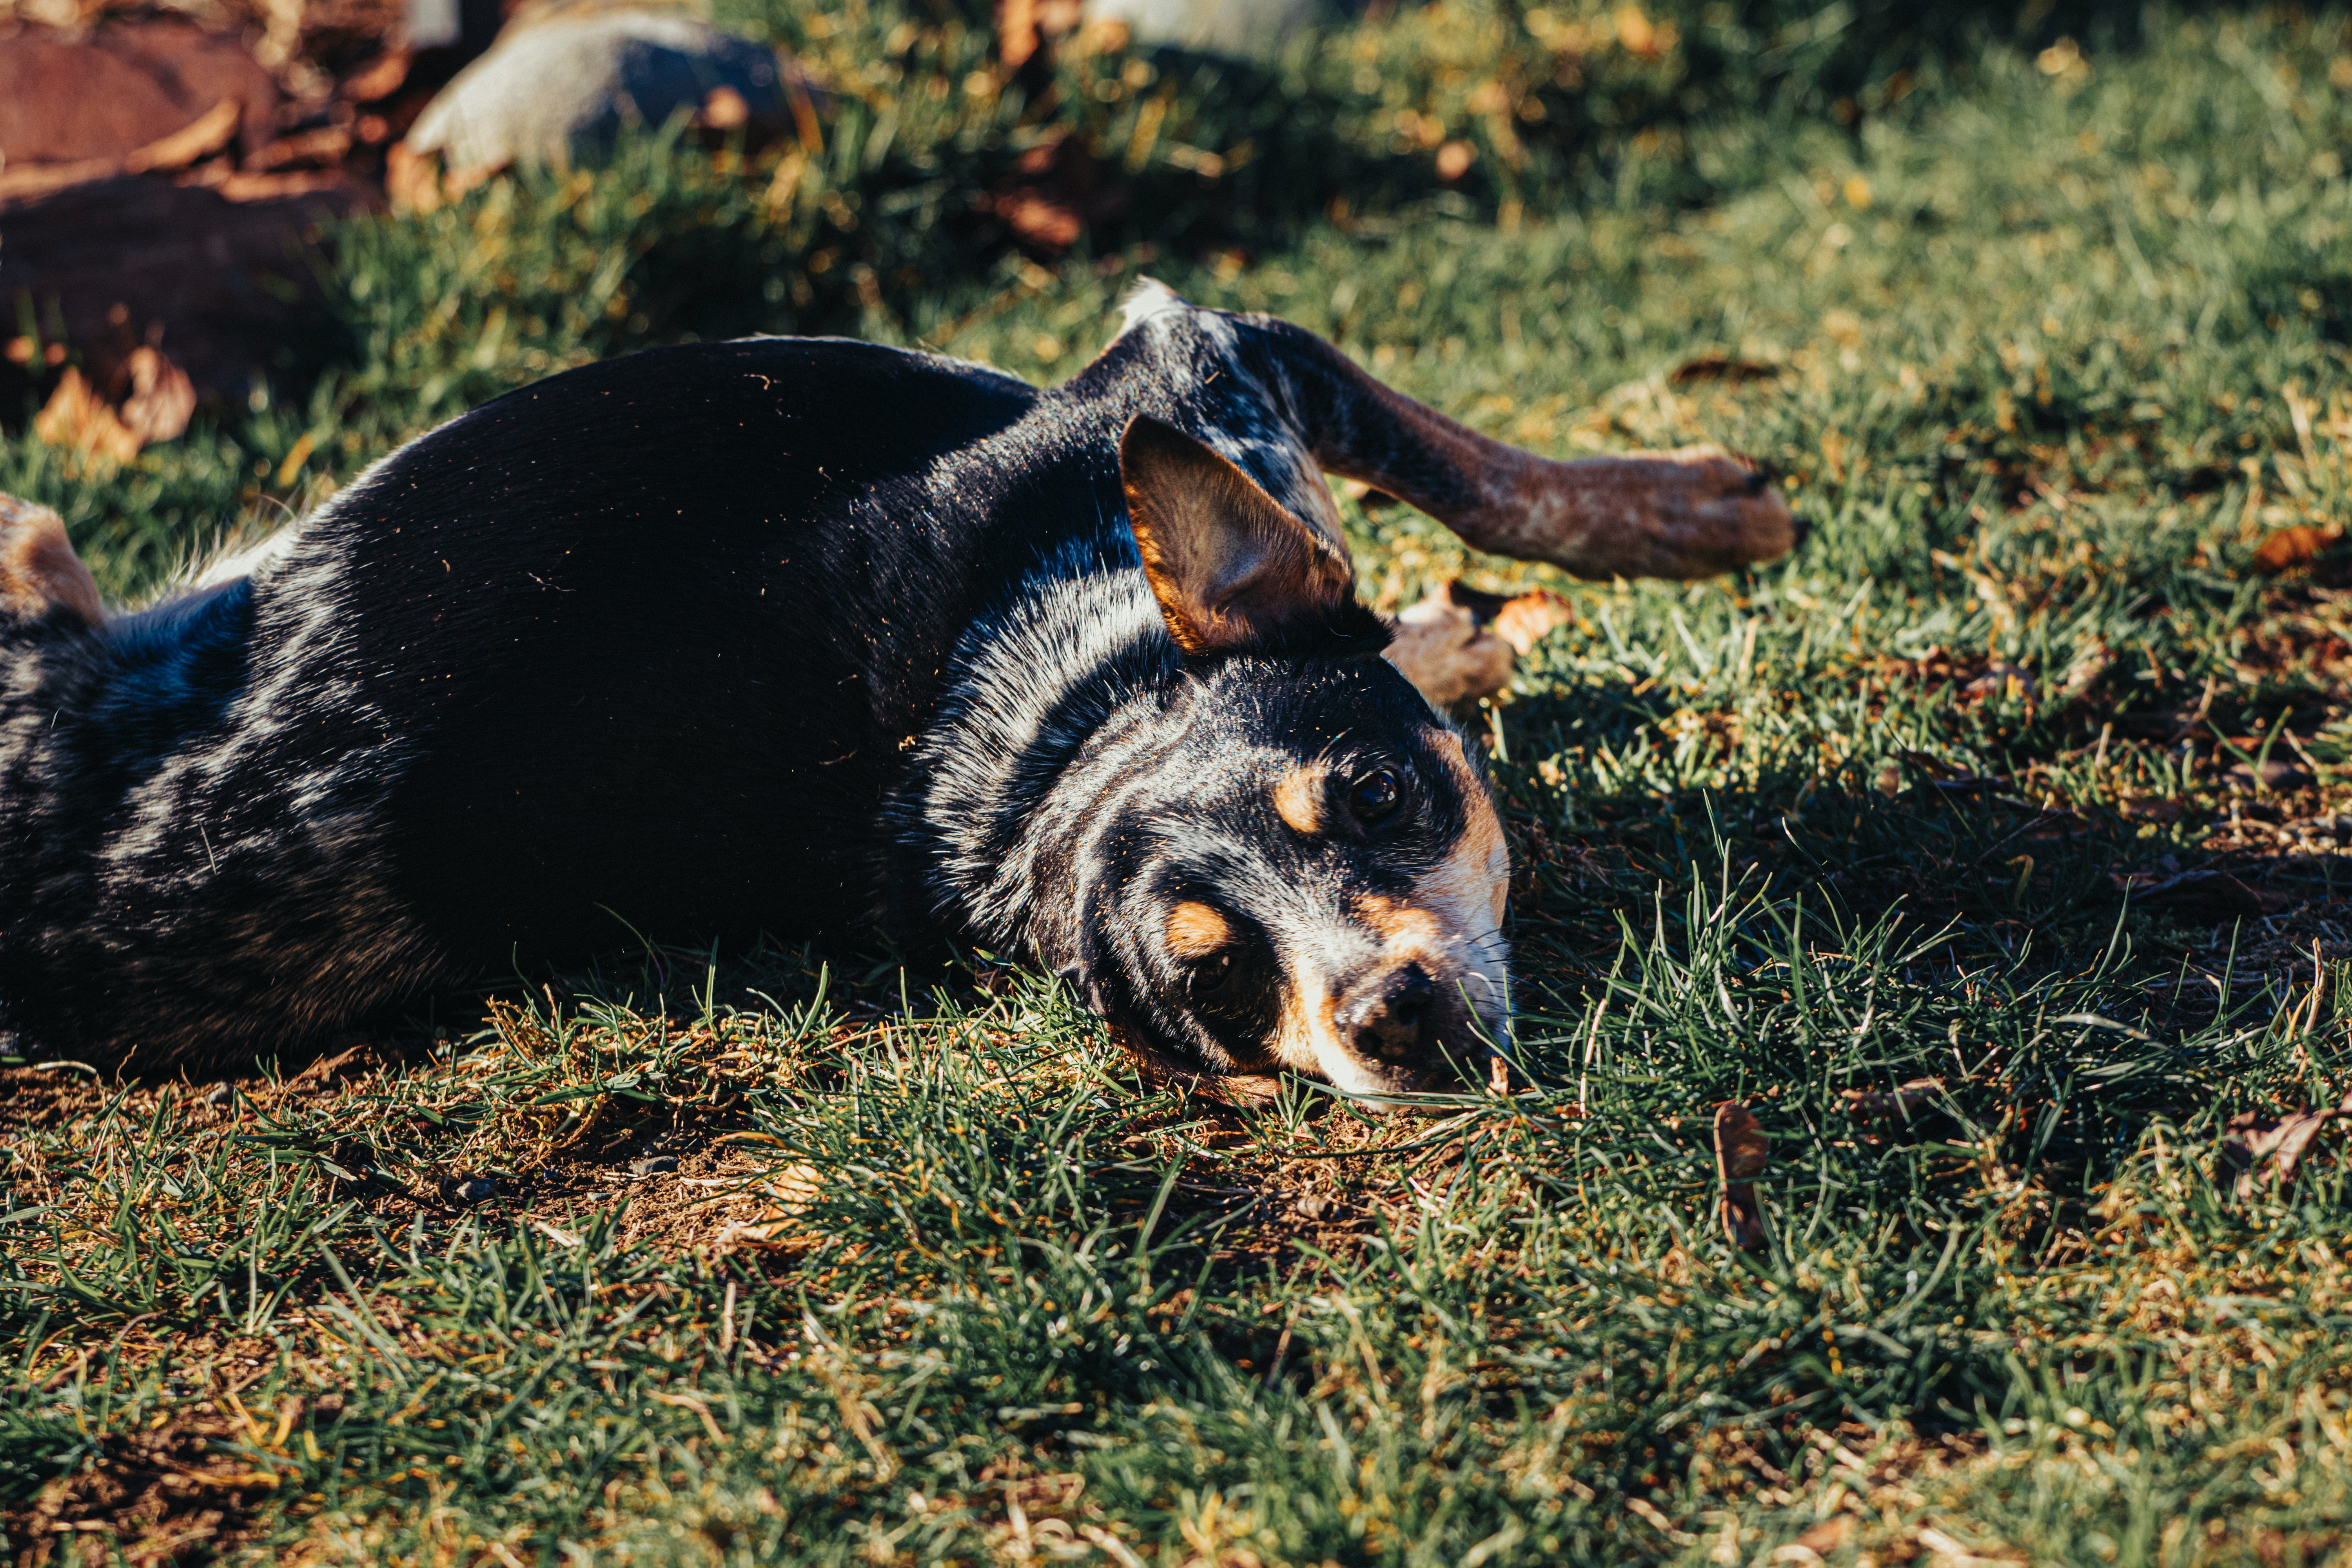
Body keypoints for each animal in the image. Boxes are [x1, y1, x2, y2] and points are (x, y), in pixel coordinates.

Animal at [0, 288, 1788, 1105]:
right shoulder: (1199, 361)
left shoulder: (1205, 367)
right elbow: (1461, 483)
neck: (1028, 725)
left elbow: (1478, 475)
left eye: (1370, 794)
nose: (1386, 1015)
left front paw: (1685, 515)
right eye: (1222, 985)